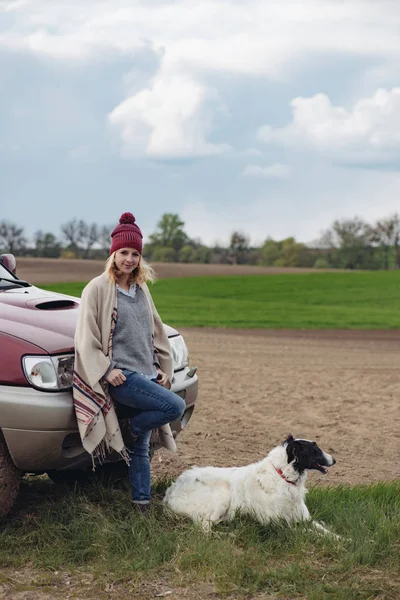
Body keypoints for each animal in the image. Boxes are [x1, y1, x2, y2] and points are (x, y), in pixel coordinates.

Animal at [164, 436, 336, 536]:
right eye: (315, 449)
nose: (334, 460)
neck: (282, 476)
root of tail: (168, 495)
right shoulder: (275, 523)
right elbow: (308, 532)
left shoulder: (304, 518)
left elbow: (328, 532)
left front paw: (340, 540)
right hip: (223, 495)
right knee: (204, 529)